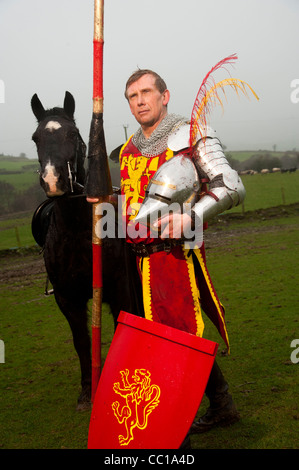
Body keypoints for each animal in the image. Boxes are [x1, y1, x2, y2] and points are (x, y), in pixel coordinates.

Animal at [31, 91, 144, 408]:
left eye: (73, 134)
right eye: (36, 138)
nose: (53, 180)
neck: (76, 232)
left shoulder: (120, 289)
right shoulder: (67, 299)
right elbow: (82, 341)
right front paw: (86, 390)